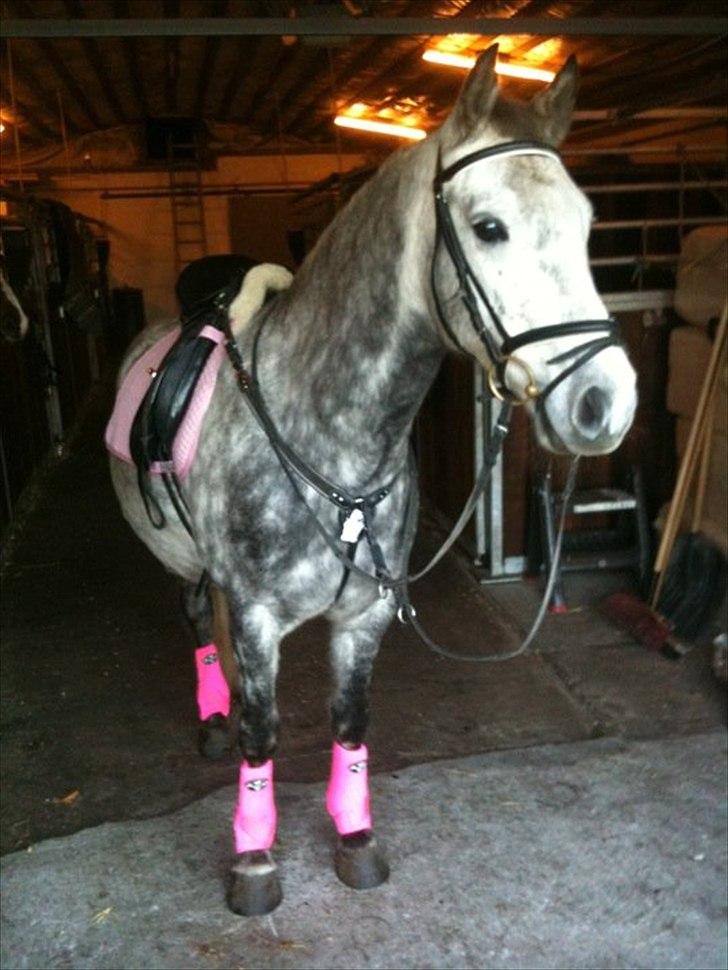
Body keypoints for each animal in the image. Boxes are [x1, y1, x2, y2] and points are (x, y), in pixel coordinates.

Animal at [108, 46, 637, 916]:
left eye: (589, 226)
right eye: (489, 227)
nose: (605, 402)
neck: (329, 430)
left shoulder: (365, 615)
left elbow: (351, 722)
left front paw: (354, 837)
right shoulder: (256, 613)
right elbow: (263, 733)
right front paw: (254, 860)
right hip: (179, 558)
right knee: (196, 622)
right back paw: (213, 716)